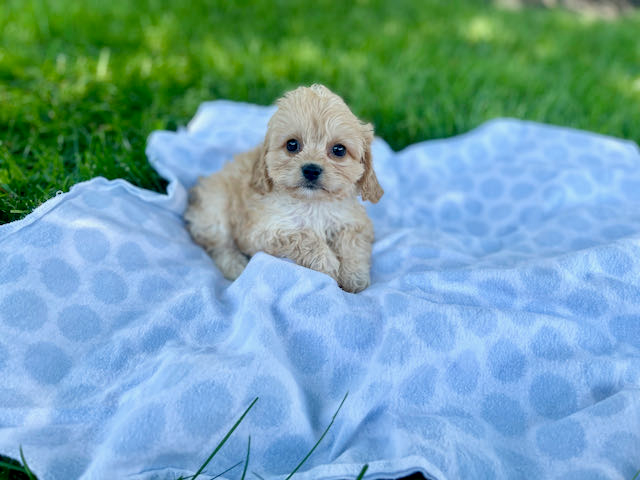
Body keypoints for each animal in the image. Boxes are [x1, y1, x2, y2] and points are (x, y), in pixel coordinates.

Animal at [185, 85, 384, 292]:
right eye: (292, 145)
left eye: (339, 150)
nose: (311, 170)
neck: (313, 204)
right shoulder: (261, 233)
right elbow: (302, 237)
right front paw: (326, 262)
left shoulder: (355, 222)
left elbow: (352, 242)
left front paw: (355, 275)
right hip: (213, 212)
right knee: (219, 246)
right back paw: (235, 265)